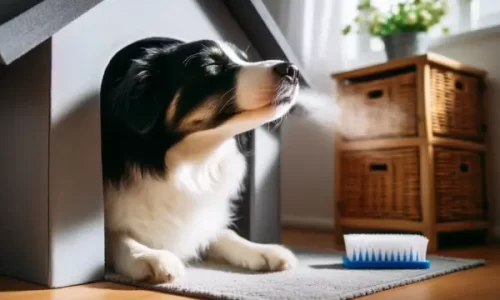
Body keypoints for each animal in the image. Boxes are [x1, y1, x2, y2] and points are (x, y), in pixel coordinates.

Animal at [99, 36, 298, 282]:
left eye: (244, 58)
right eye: (211, 65)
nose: (292, 70)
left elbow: (221, 231)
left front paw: (262, 249)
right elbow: (114, 237)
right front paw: (147, 255)